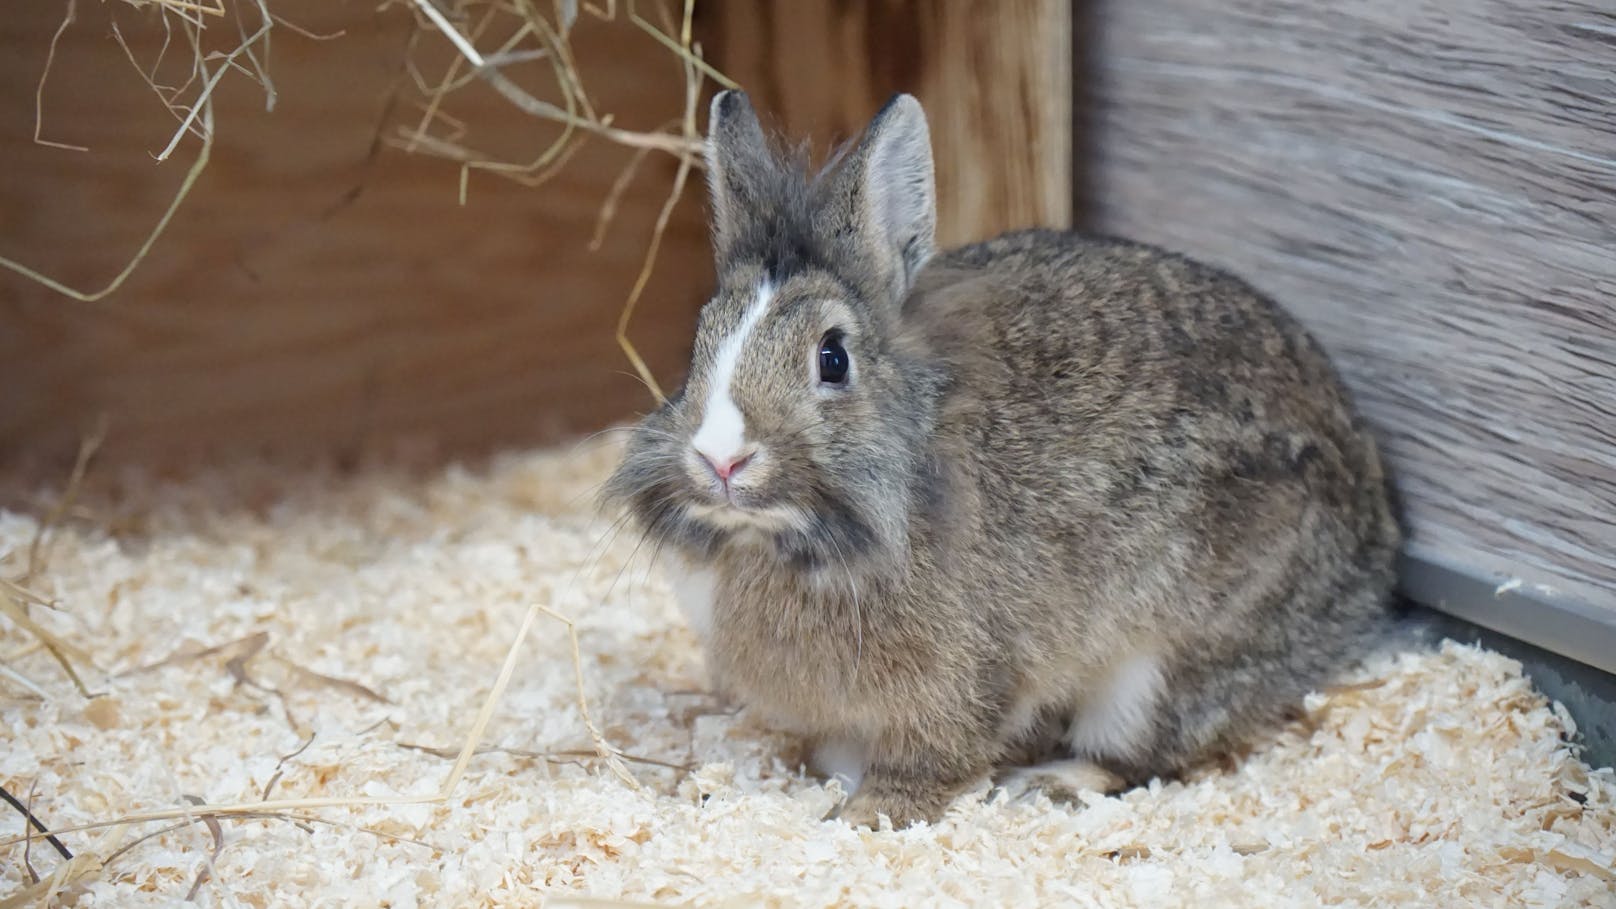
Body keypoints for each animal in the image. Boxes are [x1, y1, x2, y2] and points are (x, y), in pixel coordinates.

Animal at [607, 92, 1402, 828]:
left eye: (832, 359)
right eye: (698, 345)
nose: (720, 460)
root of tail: (1373, 550)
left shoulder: (962, 679)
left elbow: (932, 756)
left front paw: (866, 816)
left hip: (1163, 664)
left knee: (1139, 752)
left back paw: (1047, 783)